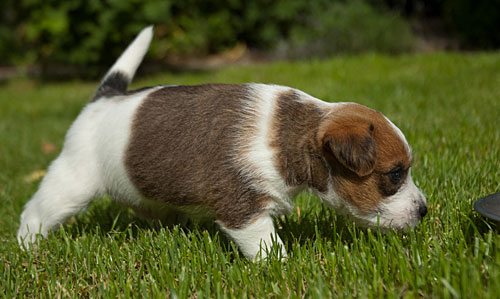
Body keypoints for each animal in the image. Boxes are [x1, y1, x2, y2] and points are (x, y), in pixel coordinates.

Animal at [18, 25, 426, 260]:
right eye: (394, 175)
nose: (424, 210)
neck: (290, 134)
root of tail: (104, 98)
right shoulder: (243, 210)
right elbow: (267, 248)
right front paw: (281, 268)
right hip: (73, 181)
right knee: (37, 212)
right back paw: (26, 247)